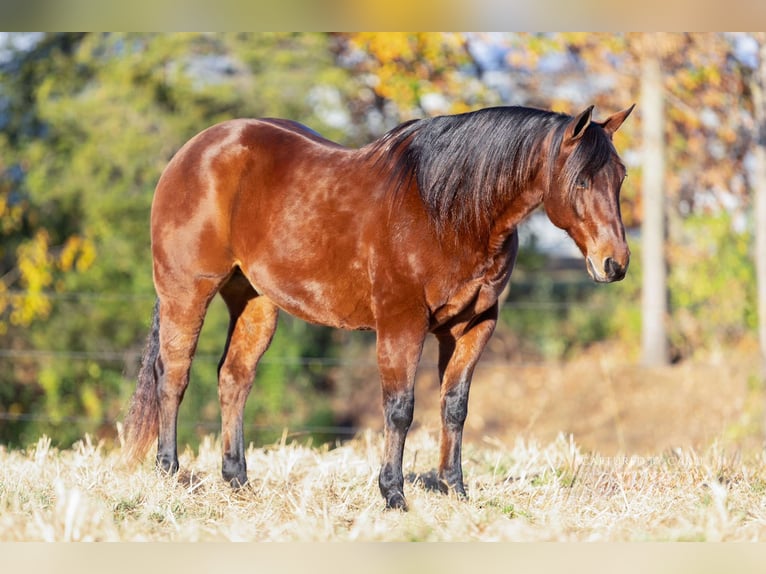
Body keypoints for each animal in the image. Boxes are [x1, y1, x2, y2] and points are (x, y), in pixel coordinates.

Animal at [121, 104, 636, 512]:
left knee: (234, 378)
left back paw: (238, 482)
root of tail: (194, 150)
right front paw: (393, 494)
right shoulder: (400, 323)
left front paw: (455, 490)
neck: (447, 211)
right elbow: (400, 409)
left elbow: (455, 407)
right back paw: (168, 472)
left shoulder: (473, 326)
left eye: (621, 176)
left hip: (255, 300)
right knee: (173, 375)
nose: (614, 263)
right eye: (582, 179)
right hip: (186, 291)